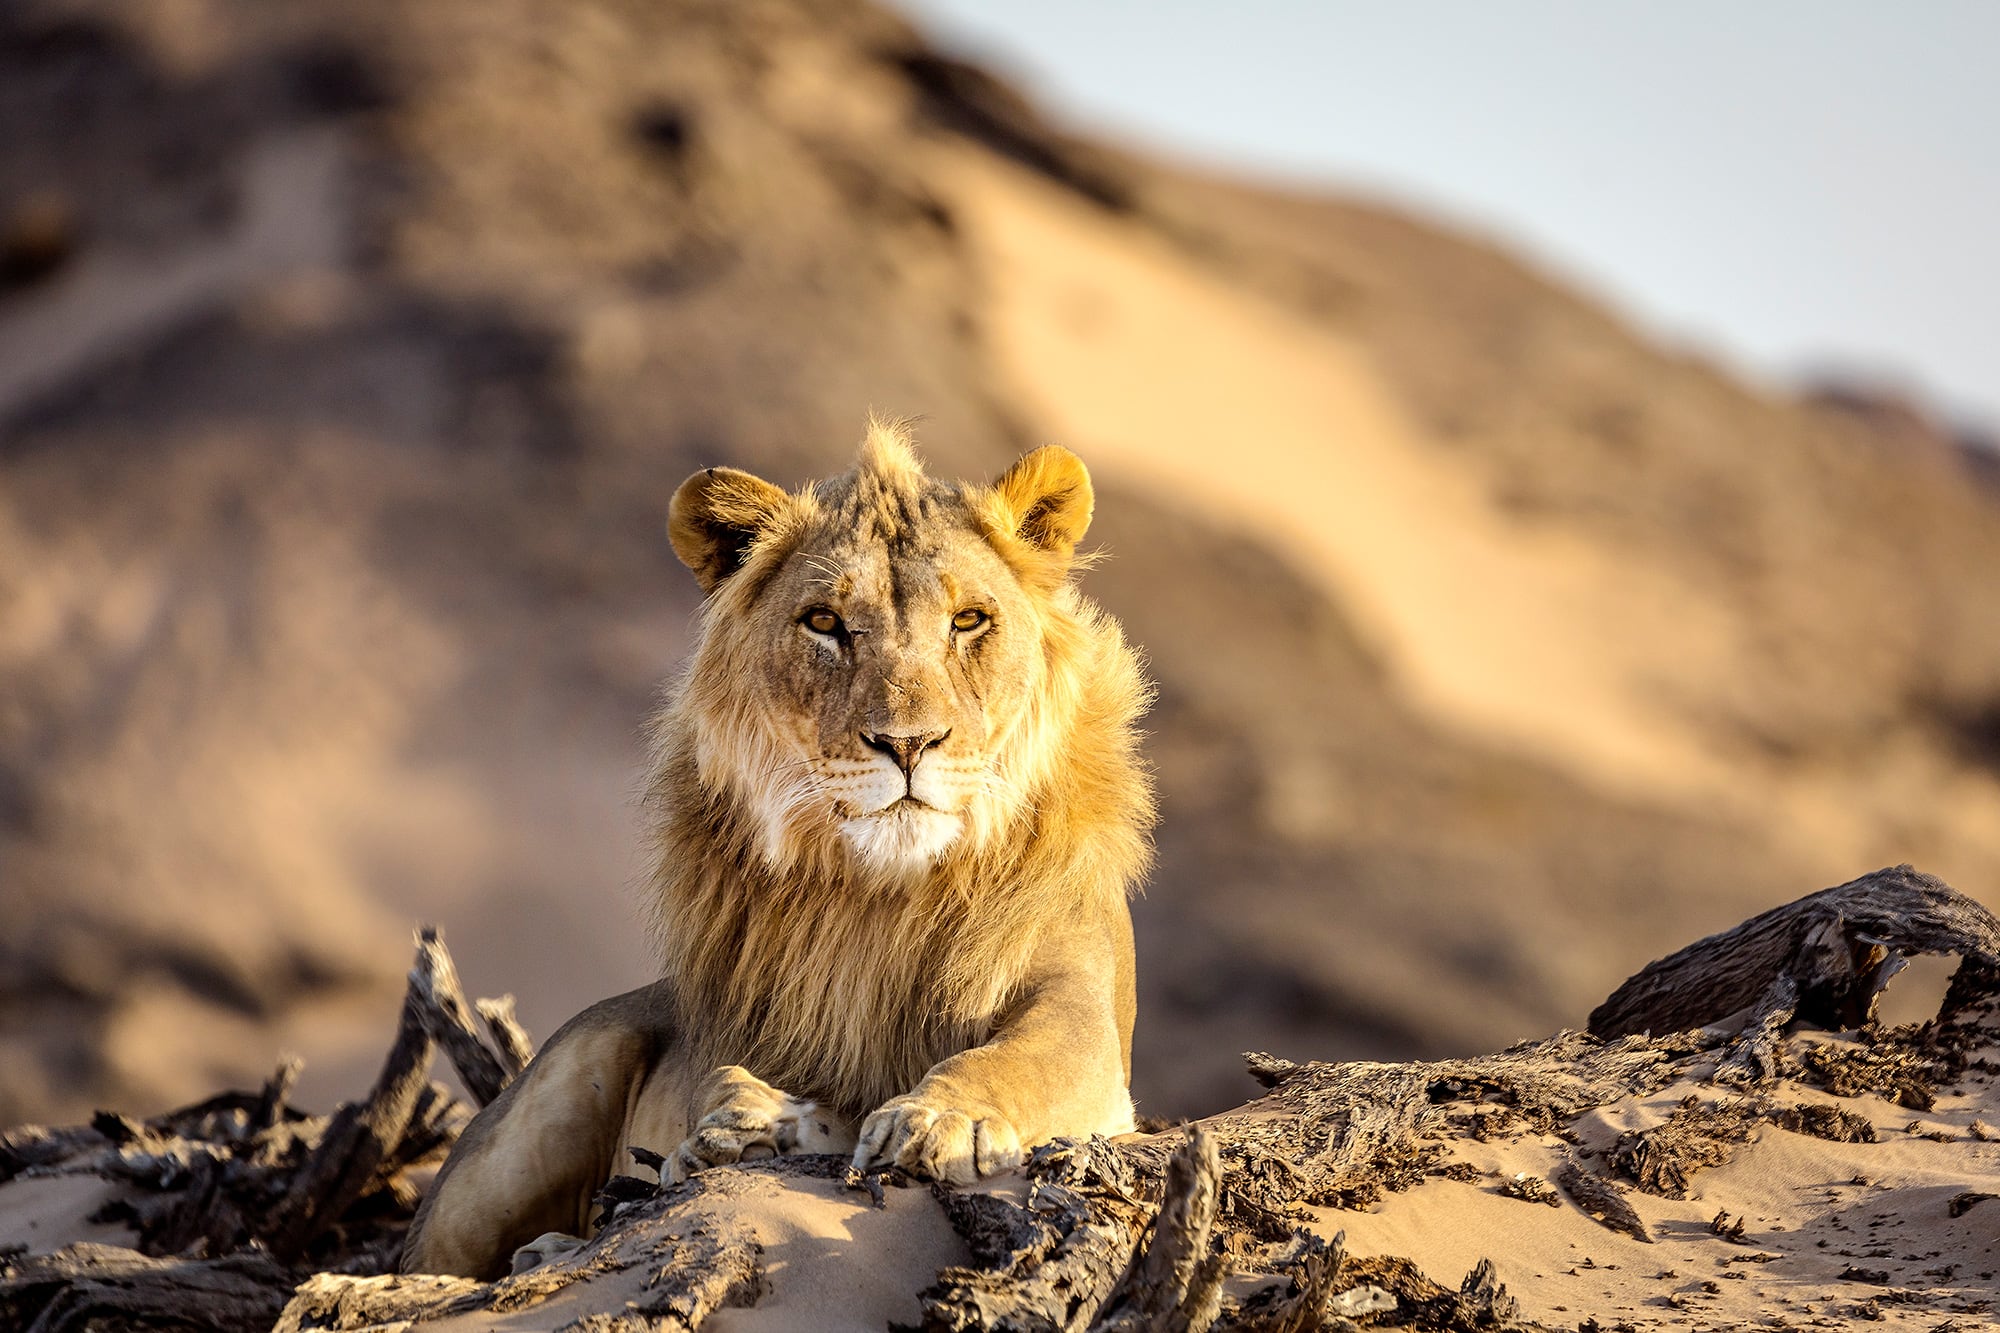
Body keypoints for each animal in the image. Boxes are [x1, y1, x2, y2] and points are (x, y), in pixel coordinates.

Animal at [401, 418, 1156, 1278]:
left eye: (968, 620)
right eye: (824, 623)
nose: (908, 743)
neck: (884, 890)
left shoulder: (1081, 1000)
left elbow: (1031, 1053)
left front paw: (940, 1118)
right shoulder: (742, 1017)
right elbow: (727, 1081)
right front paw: (749, 1123)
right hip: (535, 1120)